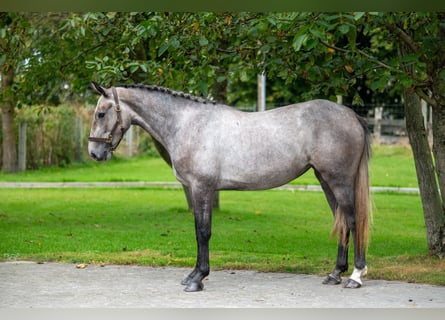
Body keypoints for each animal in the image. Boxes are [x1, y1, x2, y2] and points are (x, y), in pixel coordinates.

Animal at [88, 83, 370, 292]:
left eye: (101, 113)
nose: (94, 153)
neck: (187, 124)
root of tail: (350, 114)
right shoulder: (196, 190)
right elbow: (198, 230)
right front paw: (193, 274)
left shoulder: (202, 188)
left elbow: (203, 232)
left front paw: (198, 279)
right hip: (325, 180)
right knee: (341, 222)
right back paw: (335, 274)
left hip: (339, 180)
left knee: (352, 220)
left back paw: (355, 276)